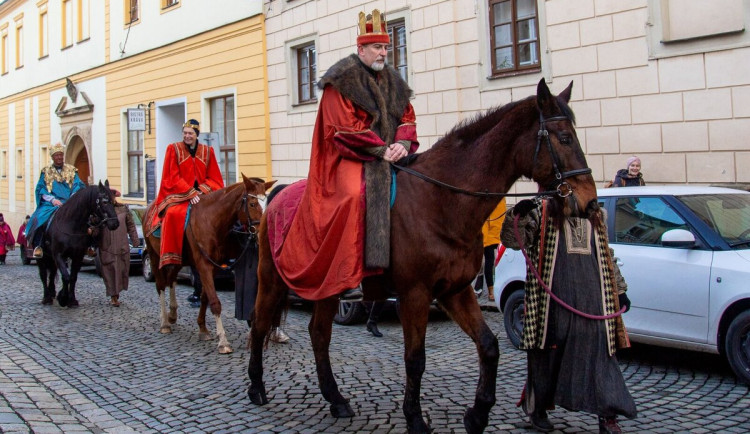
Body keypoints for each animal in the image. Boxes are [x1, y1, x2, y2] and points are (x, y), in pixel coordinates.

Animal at [142, 175, 274, 354]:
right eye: (252, 204)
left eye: (266, 203)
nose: (261, 234)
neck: (212, 221)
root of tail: (149, 208)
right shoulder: (203, 265)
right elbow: (215, 302)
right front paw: (223, 341)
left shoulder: (213, 267)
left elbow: (205, 297)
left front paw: (203, 329)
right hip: (155, 255)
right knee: (161, 285)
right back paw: (164, 322)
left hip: (177, 259)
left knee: (171, 280)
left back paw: (172, 313)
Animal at [247, 79, 600, 434]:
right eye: (564, 138)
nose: (589, 202)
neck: (440, 202)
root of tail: (278, 196)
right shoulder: (414, 294)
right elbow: (415, 359)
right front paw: (415, 418)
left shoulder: (455, 291)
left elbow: (489, 346)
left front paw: (478, 414)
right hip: (272, 280)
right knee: (260, 324)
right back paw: (257, 388)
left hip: (326, 290)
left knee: (319, 334)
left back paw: (336, 400)